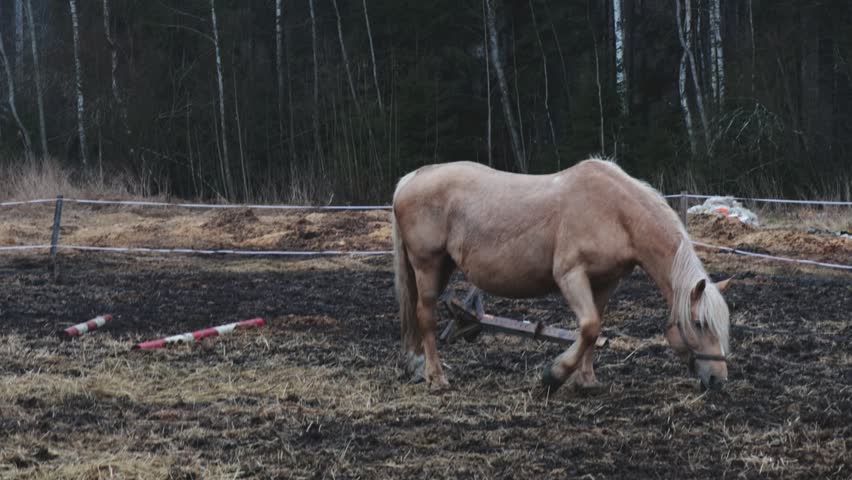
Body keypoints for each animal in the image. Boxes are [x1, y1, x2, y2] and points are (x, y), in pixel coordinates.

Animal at [391, 159, 732, 393]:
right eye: (699, 323)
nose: (718, 380)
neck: (616, 213)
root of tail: (411, 179)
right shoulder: (570, 274)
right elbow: (590, 326)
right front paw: (554, 375)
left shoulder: (606, 281)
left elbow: (595, 327)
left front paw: (586, 380)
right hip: (427, 265)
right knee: (425, 316)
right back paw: (436, 377)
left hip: (443, 266)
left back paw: (417, 367)